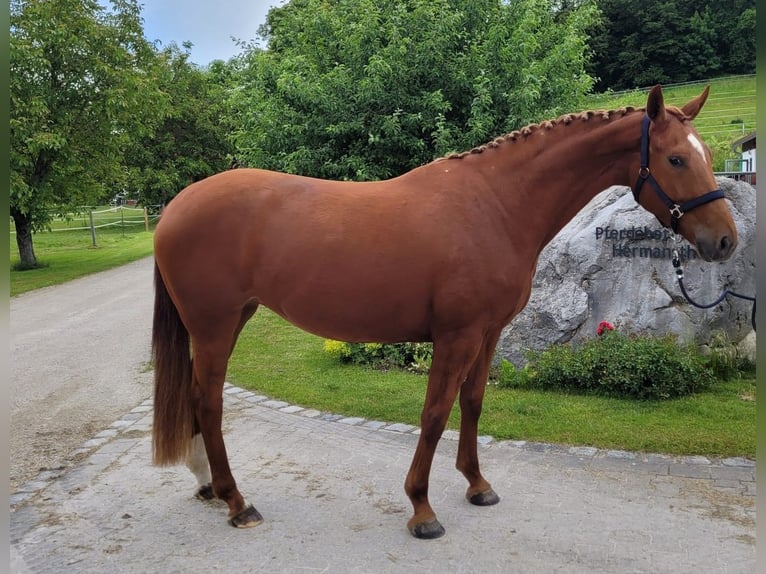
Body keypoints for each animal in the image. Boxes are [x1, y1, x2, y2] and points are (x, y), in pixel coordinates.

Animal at [152, 86, 736, 540]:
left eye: (705, 154)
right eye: (676, 159)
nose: (725, 240)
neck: (495, 205)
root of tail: (176, 206)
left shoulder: (489, 333)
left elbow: (472, 404)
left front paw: (477, 485)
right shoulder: (456, 335)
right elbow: (434, 414)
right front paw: (422, 508)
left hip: (233, 319)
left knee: (201, 399)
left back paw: (209, 486)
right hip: (214, 325)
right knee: (208, 402)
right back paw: (236, 501)